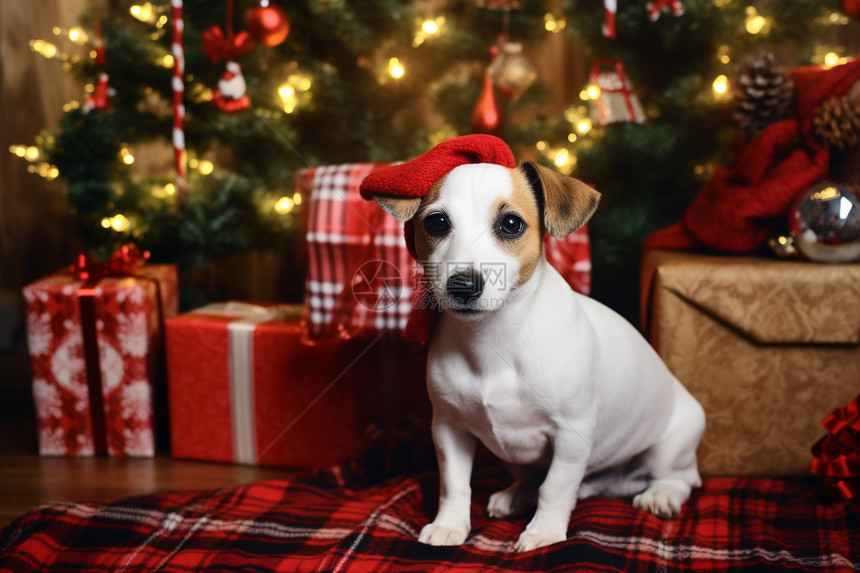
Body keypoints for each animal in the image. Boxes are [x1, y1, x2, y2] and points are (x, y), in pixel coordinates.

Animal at [360, 134, 704, 548]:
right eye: (437, 222)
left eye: (511, 223)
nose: (464, 285)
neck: (494, 340)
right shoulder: (448, 427)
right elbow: (455, 483)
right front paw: (449, 524)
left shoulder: (572, 433)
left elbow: (555, 487)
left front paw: (545, 531)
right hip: (514, 456)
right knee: (534, 478)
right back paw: (516, 495)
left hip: (672, 444)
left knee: (682, 478)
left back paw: (661, 494)